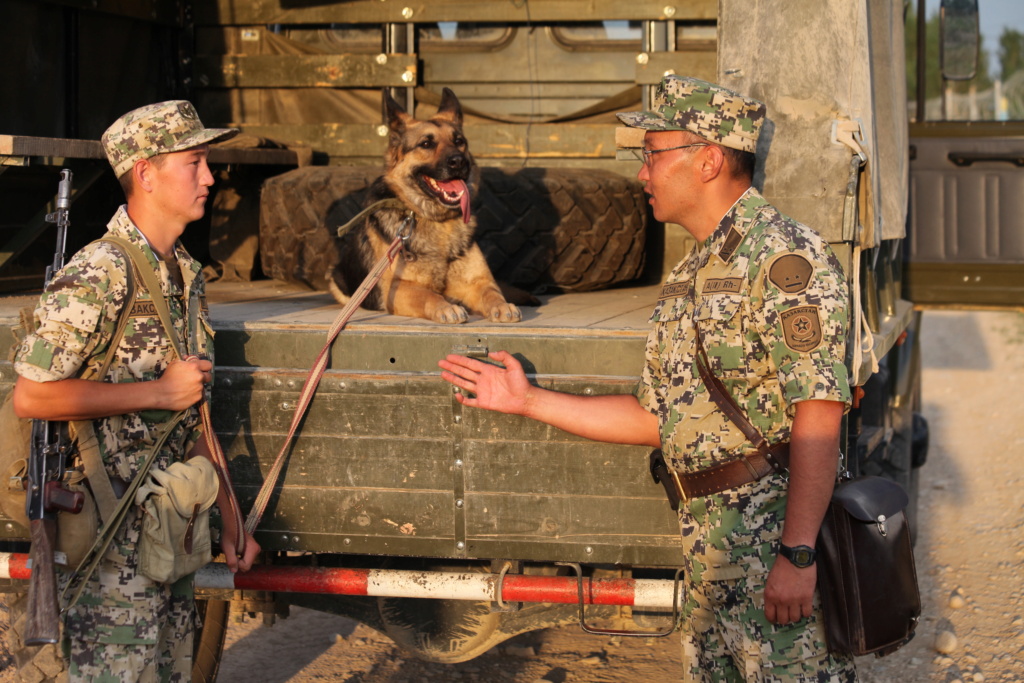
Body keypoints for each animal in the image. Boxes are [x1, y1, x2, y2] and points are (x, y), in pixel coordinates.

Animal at [327, 89, 520, 325]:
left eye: (459, 141)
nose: (459, 161)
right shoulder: (398, 290)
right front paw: (446, 307)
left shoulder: (479, 281)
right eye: (426, 144)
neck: (436, 221)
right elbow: (428, 295)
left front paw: (502, 305)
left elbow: (491, 292)